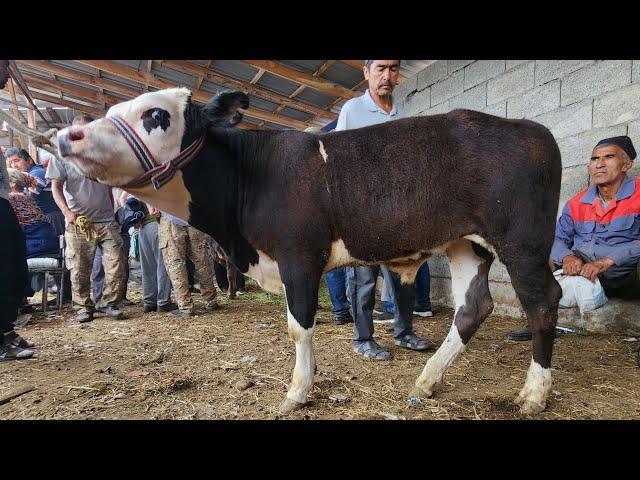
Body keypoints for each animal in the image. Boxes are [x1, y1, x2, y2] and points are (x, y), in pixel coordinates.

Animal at [57, 88, 564, 414]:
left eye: (156, 115)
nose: (65, 136)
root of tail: (529, 127)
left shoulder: (299, 256)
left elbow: (298, 326)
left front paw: (297, 391)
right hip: (466, 243)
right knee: (472, 307)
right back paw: (428, 380)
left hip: (522, 242)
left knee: (543, 303)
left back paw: (534, 395)